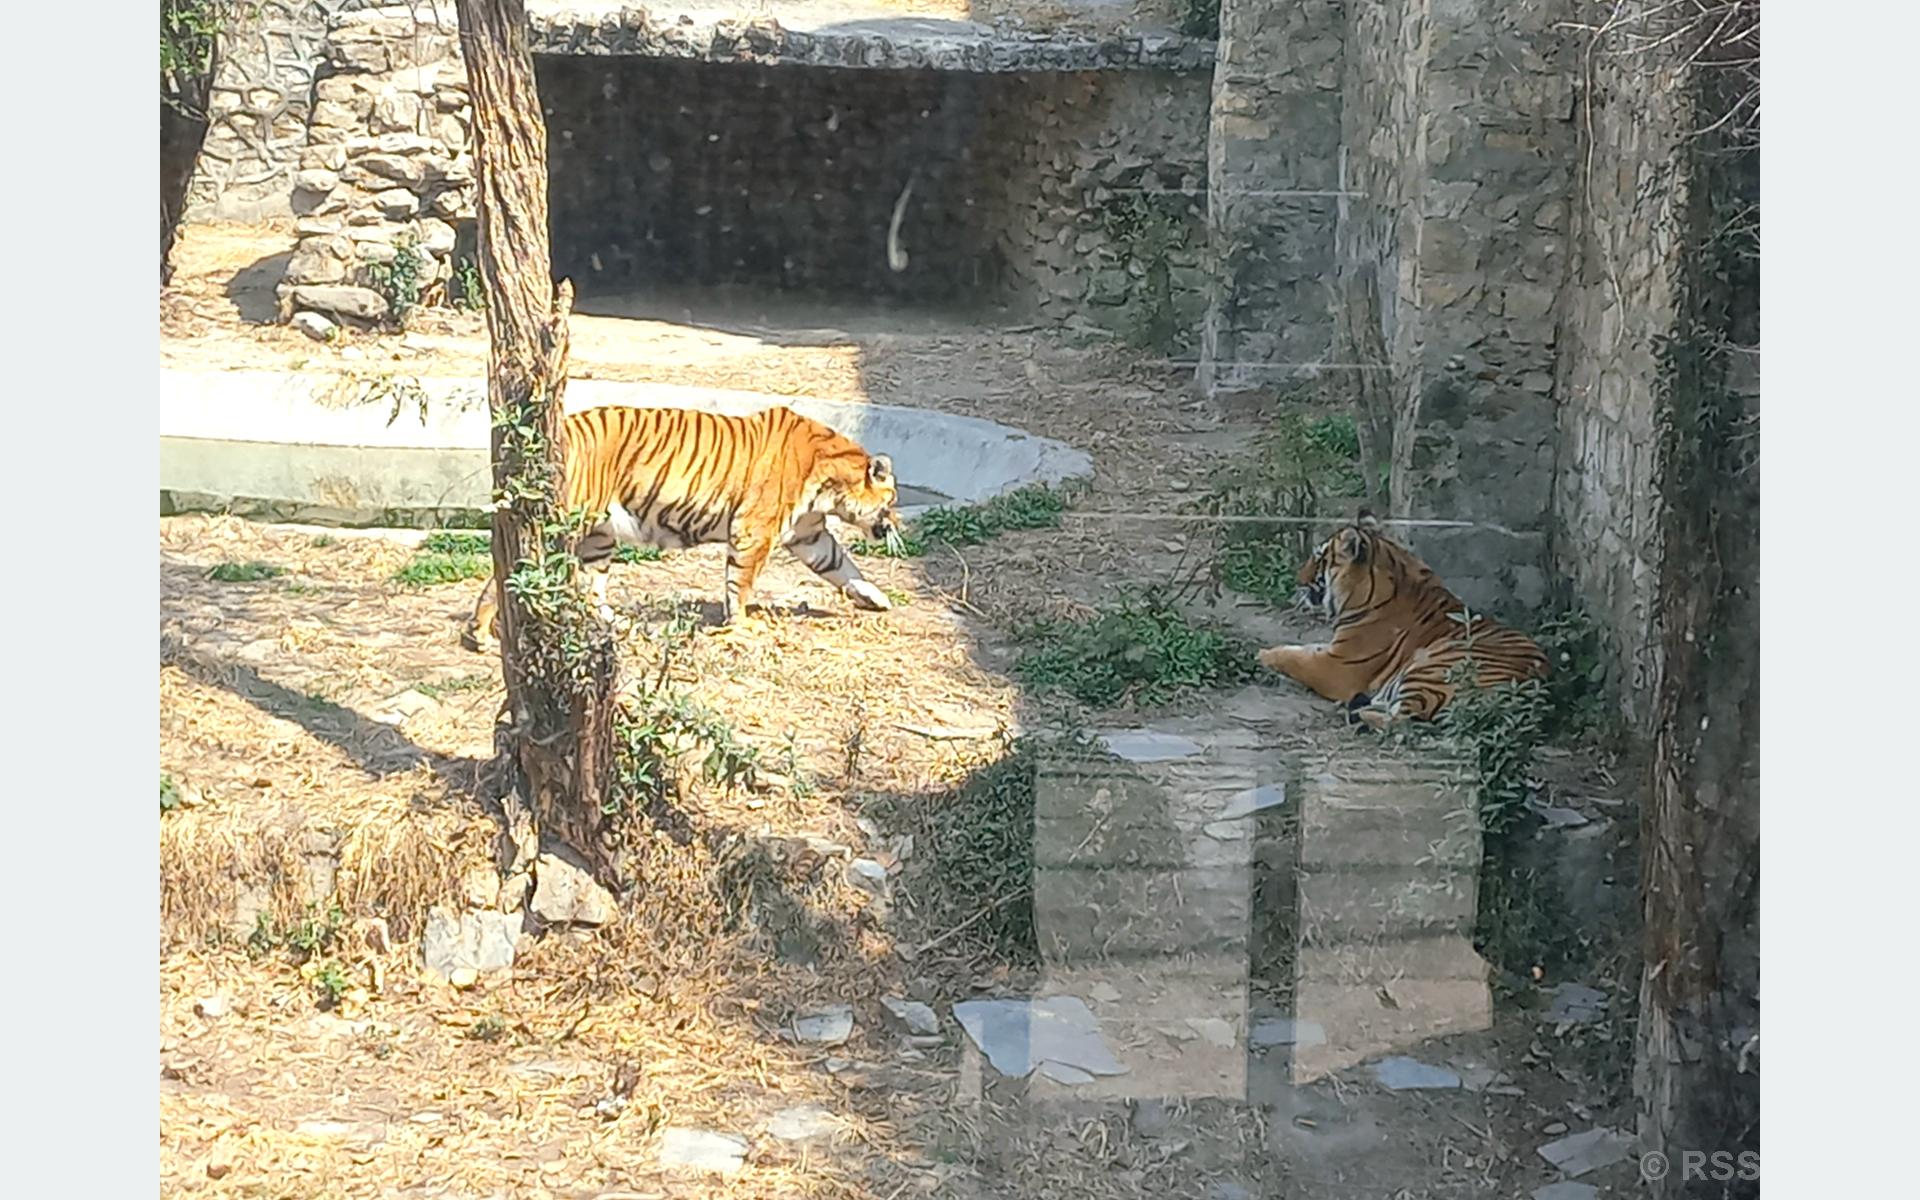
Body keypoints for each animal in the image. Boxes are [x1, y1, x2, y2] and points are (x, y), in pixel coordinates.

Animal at [470, 403, 906, 648]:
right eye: (893, 501)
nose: (898, 524)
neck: (831, 483)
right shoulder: (754, 531)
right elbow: (740, 583)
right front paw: (741, 625)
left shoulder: (809, 534)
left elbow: (843, 566)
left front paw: (876, 598)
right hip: (567, 525)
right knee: (510, 569)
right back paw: (480, 633)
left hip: (598, 537)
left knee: (592, 589)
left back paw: (615, 622)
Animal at [1259, 510, 1543, 725]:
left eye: (1318, 558)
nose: (1297, 579)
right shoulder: (1334, 650)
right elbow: (1302, 648)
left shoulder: (1337, 666)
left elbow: (1297, 659)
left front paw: (1263, 655)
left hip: (1430, 666)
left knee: (1399, 720)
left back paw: (1356, 711)